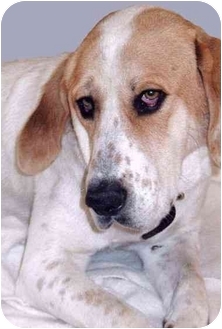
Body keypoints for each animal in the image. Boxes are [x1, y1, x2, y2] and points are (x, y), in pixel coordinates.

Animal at [1, 5, 220, 328]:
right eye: (85, 105)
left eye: (150, 96)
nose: (103, 200)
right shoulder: (44, 265)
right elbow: (124, 314)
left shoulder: (172, 243)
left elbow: (193, 288)